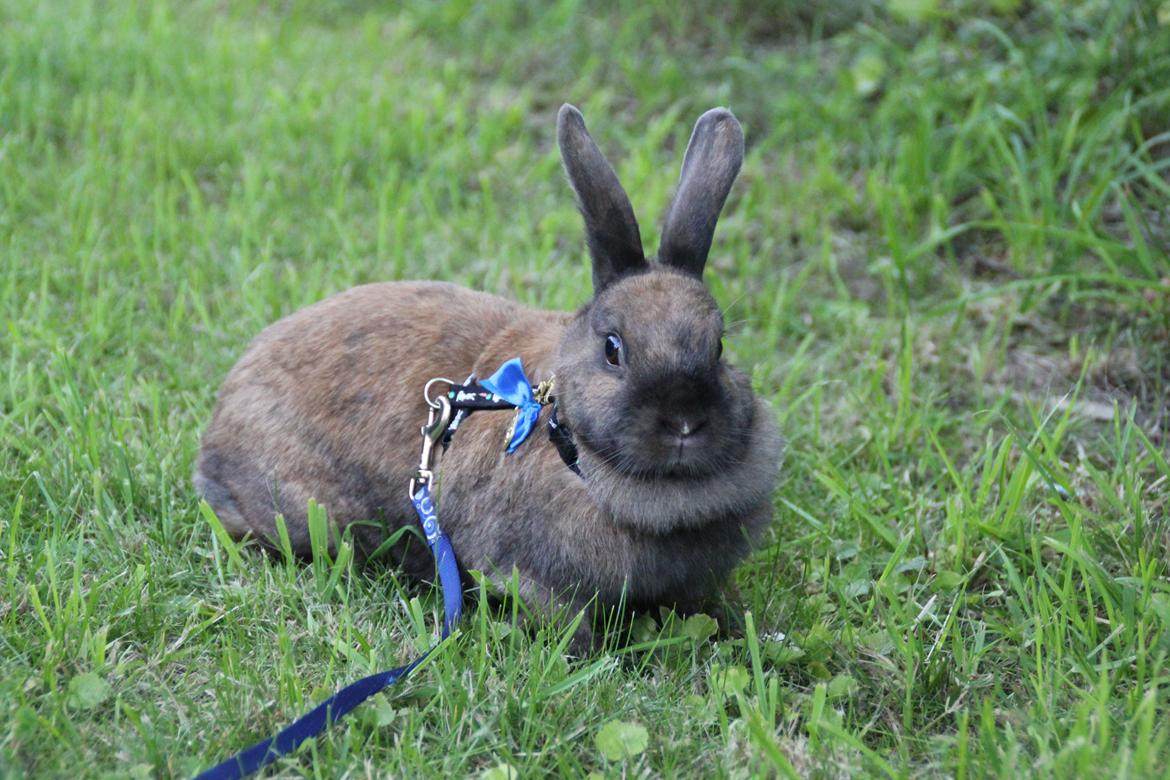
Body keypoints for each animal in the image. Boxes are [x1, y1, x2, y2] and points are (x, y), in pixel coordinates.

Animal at [196, 105, 781, 654]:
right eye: (613, 349)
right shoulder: (526, 572)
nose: (684, 421)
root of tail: (219, 426)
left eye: (718, 346)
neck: (570, 443)